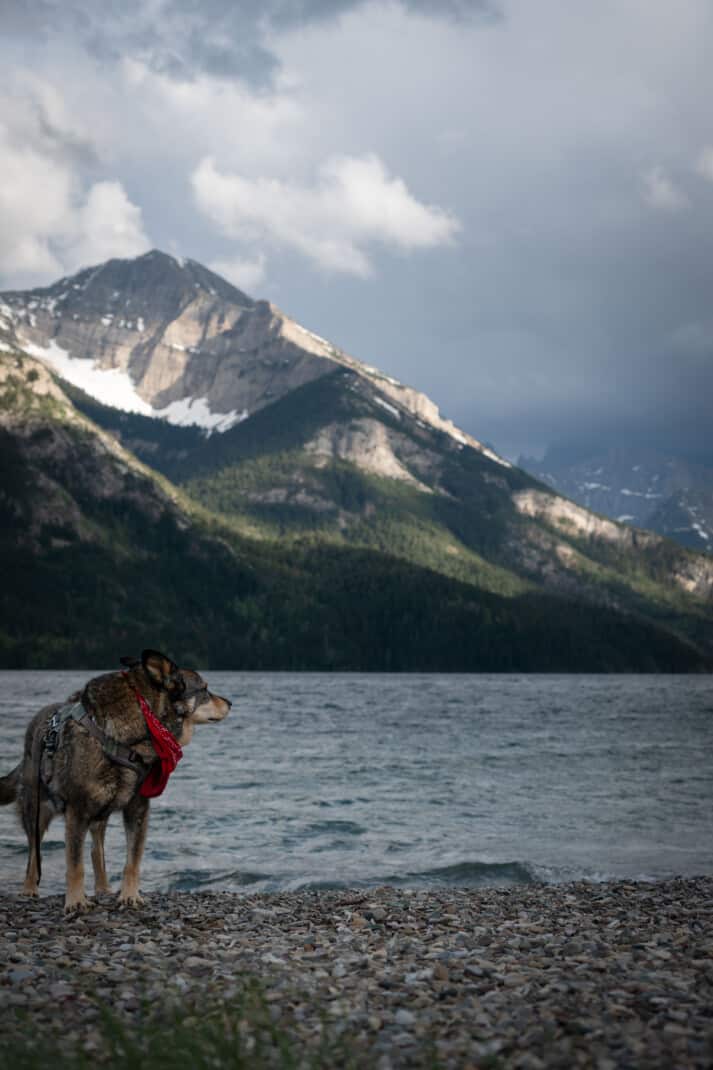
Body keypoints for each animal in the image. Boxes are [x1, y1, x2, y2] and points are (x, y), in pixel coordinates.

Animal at [0, 650, 229, 911]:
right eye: (205, 689)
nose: (230, 703)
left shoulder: (138, 809)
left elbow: (132, 861)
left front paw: (130, 896)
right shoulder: (77, 810)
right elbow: (74, 864)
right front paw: (75, 901)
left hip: (99, 814)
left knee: (96, 850)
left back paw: (103, 888)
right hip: (36, 809)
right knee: (33, 853)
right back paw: (29, 889)